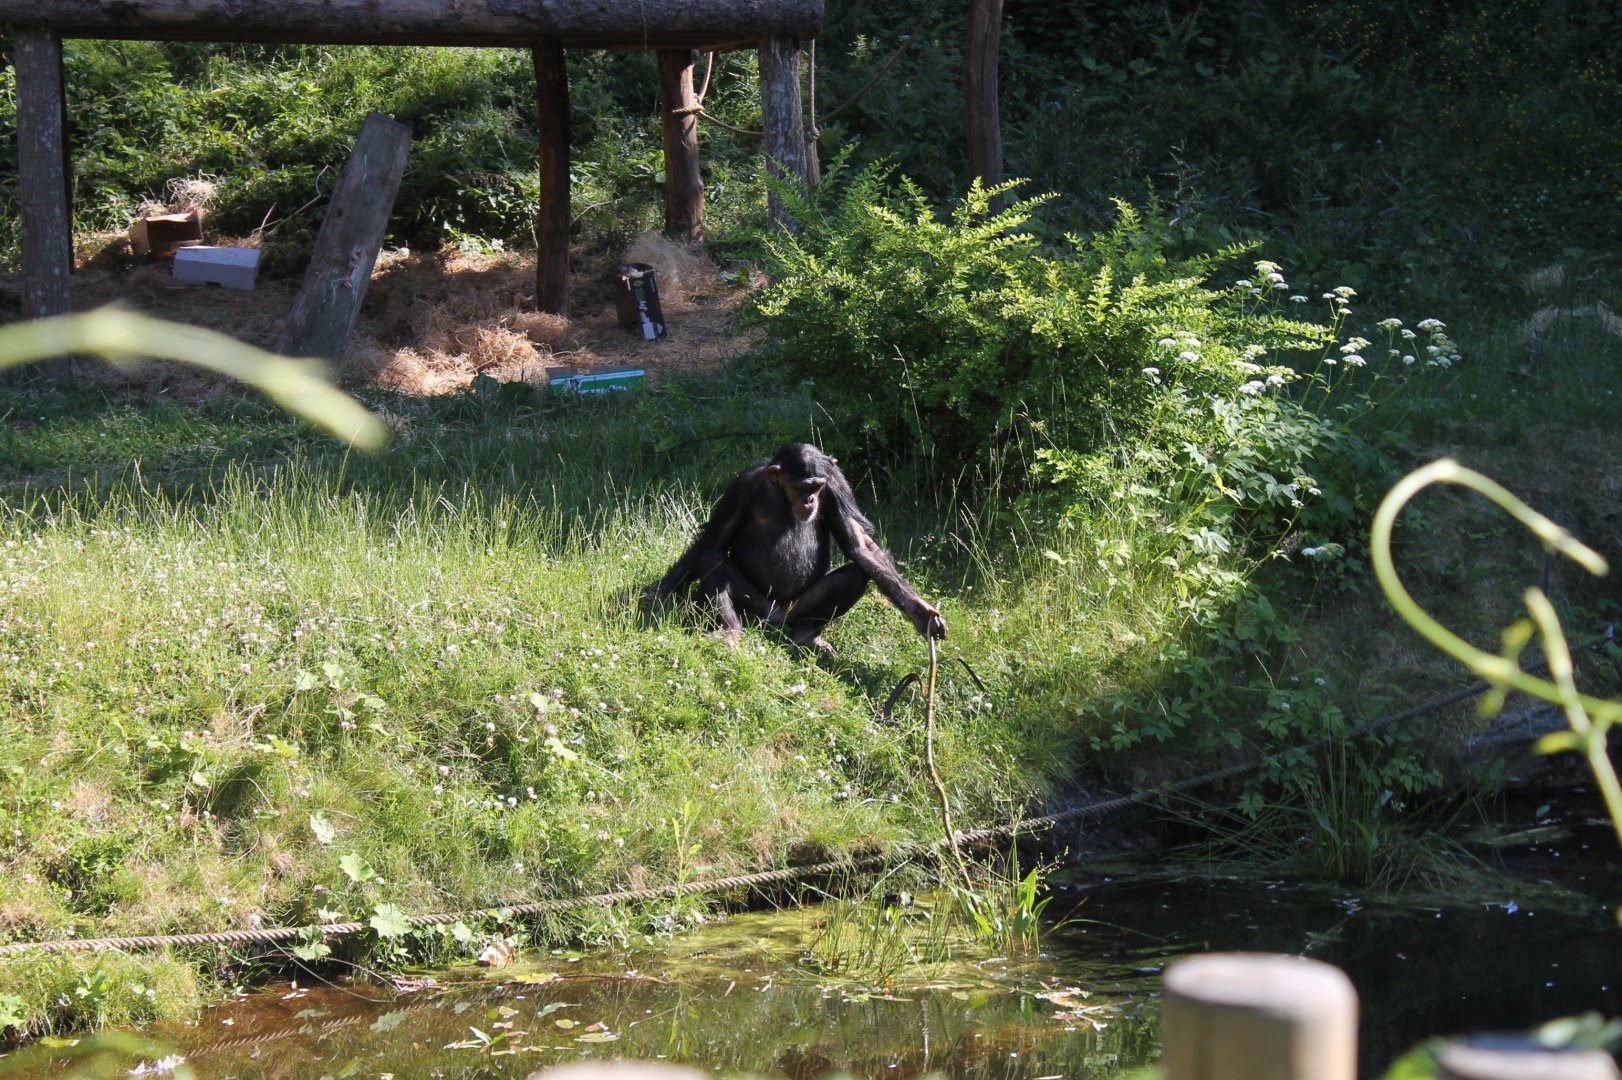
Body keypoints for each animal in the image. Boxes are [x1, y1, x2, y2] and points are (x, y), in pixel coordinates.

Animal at [645, 443, 947, 651]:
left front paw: (920, 613)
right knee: (711, 559)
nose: (809, 499)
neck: (781, 493)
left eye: (817, 486)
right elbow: (714, 539)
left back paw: (806, 636)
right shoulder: (741, 485)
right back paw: (731, 631)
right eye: (800, 487)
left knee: (855, 575)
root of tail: (774, 618)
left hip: (798, 608)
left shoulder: (836, 485)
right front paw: (659, 591)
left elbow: (860, 547)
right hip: (754, 603)